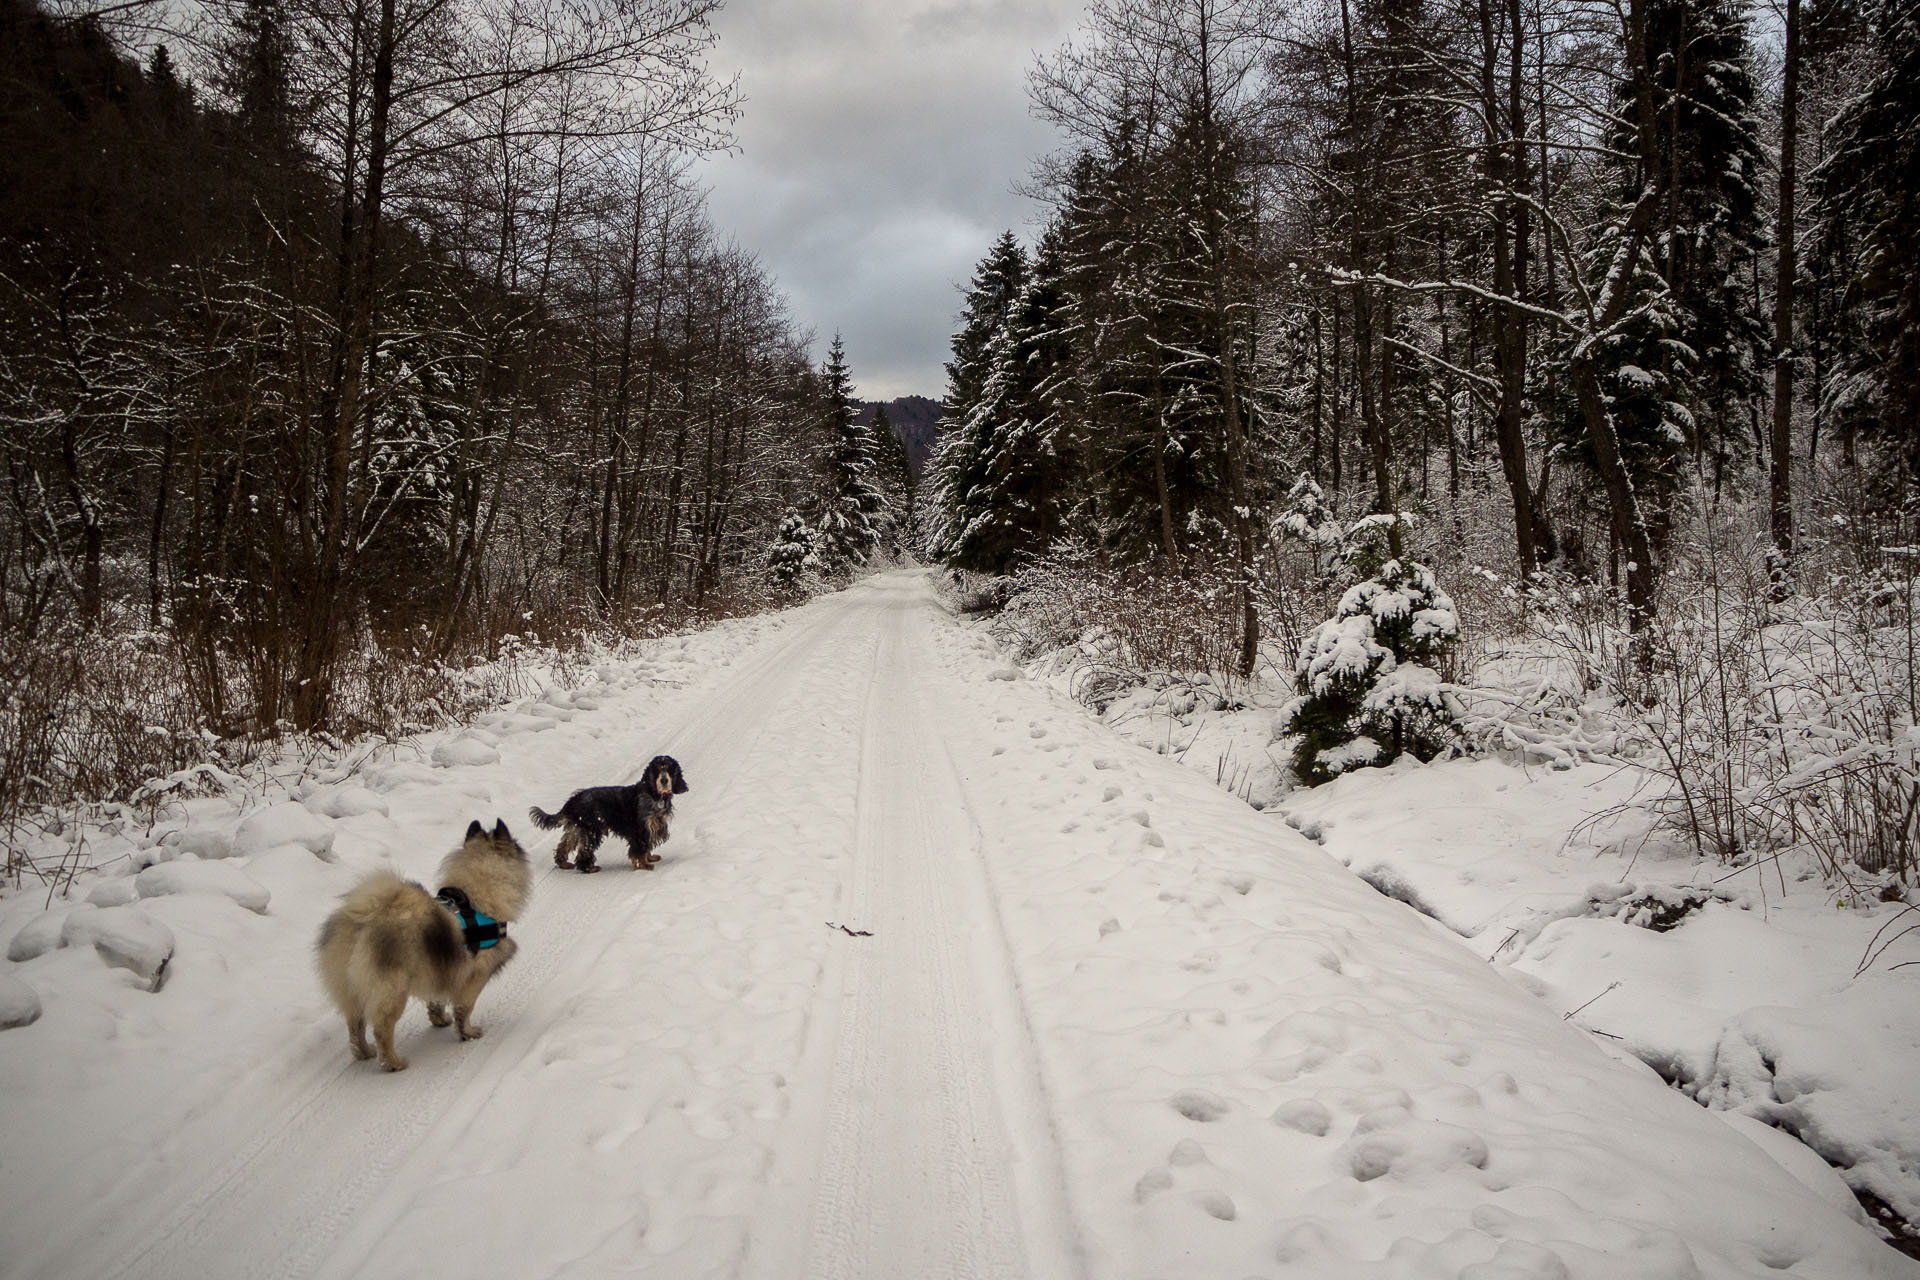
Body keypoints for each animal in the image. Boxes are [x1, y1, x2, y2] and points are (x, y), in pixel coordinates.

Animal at [316, 821, 533, 1074]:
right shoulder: (475, 976)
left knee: (355, 1024)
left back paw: (364, 1052)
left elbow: (436, 1000)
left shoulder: (441, 970)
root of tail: (360, 922)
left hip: (352, 988)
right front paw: (467, 1033)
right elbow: (465, 1008)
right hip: (393, 991)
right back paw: (392, 1062)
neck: (476, 901)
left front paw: (440, 1020)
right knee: (381, 1029)